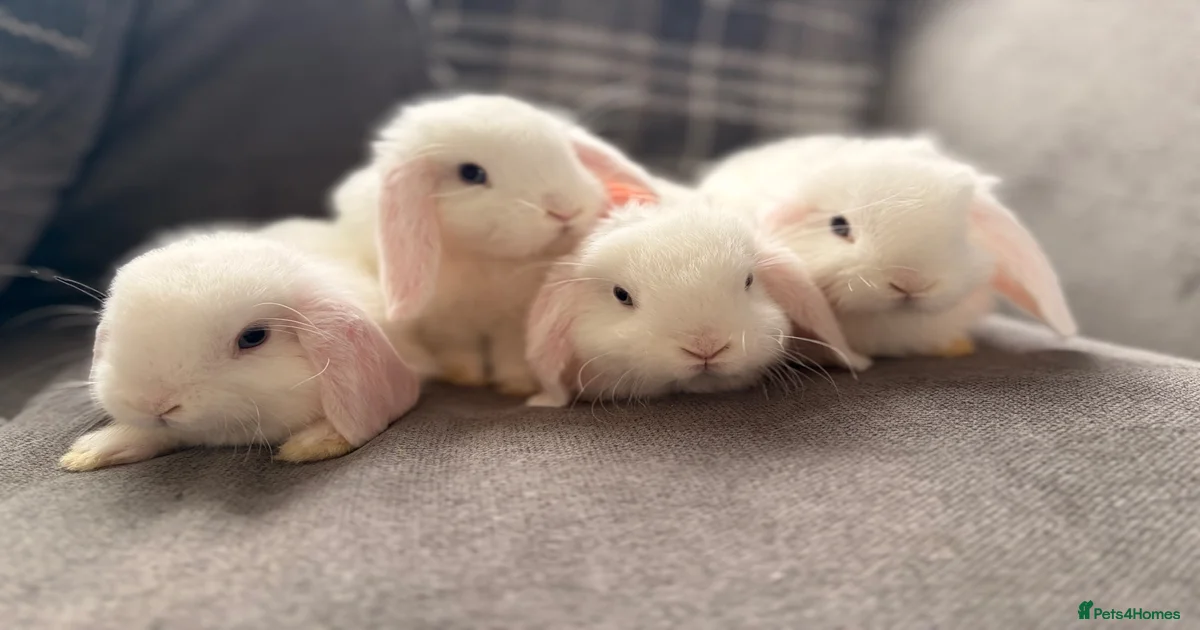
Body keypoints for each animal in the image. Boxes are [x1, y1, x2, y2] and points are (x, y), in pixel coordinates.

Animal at [332, 93, 660, 397]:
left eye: (569, 155)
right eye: (471, 173)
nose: (565, 210)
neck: (488, 259)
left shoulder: (515, 321)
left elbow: (512, 353)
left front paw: (516, 385)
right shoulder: (447, 322)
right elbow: (459, 348)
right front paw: (466, 377)